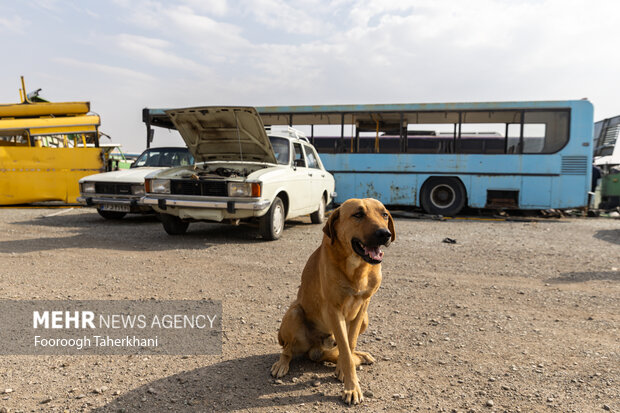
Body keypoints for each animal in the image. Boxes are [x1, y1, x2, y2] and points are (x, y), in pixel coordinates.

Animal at [272, 198, 398, 404]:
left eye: (384, 214)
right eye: (358, 214)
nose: (384, 234)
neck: (357, 268)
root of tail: (315, 350)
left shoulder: (363, 306)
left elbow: (350, 344)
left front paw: (344, 370)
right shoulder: (334, 310)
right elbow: (345, 352)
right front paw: (351, 387)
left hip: (365, 319)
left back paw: (360, 355)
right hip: (294, 313)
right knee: (288, 349)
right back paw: (282, 363)